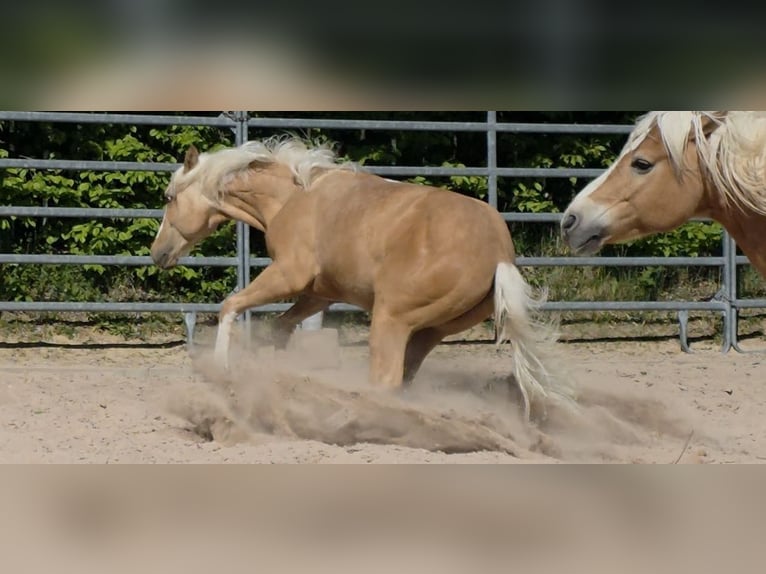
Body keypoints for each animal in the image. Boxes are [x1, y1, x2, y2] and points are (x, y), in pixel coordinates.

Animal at [150, 136, 572, 420]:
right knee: (404, 378)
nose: (157, 254)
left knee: (385, 380)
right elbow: (279, 328)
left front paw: (222, 368)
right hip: (429, 330)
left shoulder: (288, 275)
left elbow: (230, 306)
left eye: (170, 197)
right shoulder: (318, 293)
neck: (291, 198)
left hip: (391, 319)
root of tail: (499, 254)